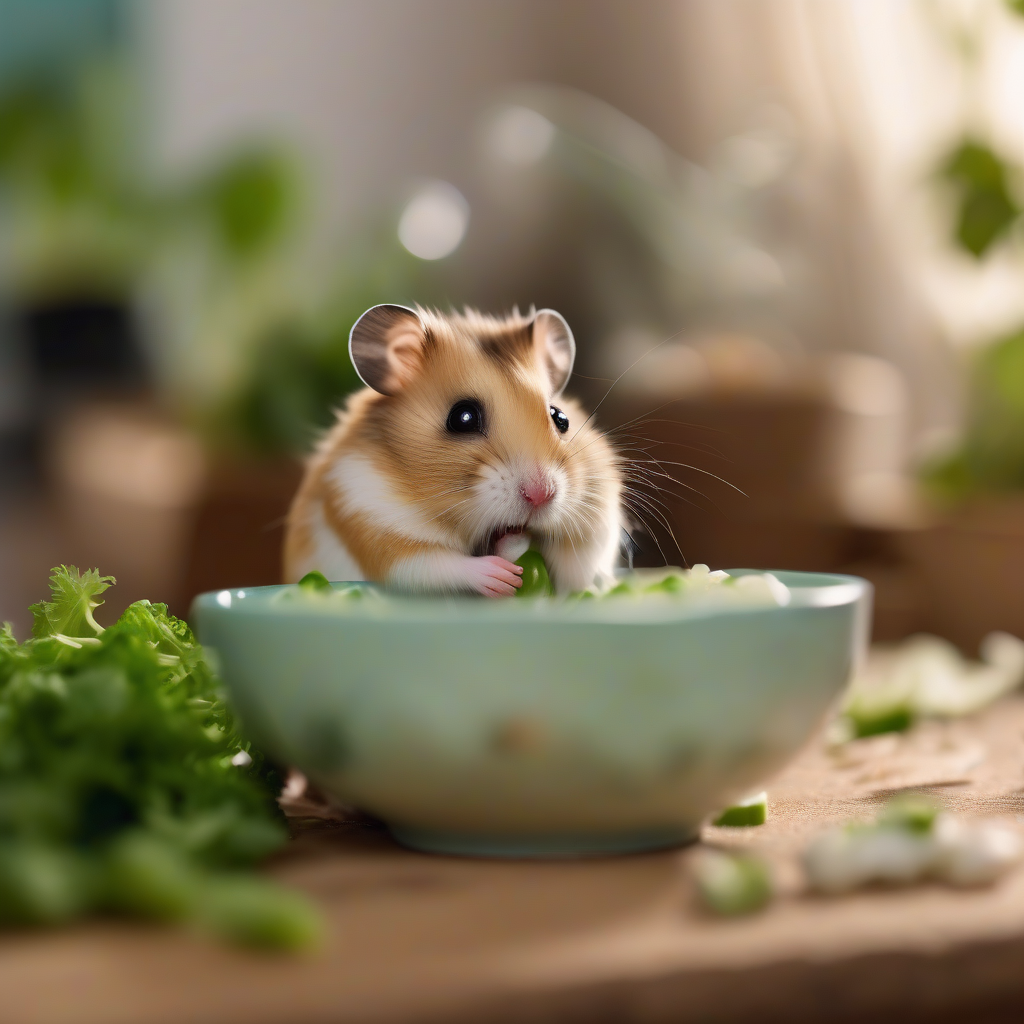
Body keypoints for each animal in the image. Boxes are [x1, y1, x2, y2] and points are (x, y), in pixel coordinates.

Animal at [283, 304, 623, 596]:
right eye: (463, 417)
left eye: (560, 417)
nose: (541, 496)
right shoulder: (366, 511)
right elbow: (432, 565)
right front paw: (502, 576)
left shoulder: (597, 522)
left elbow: (577, 566)